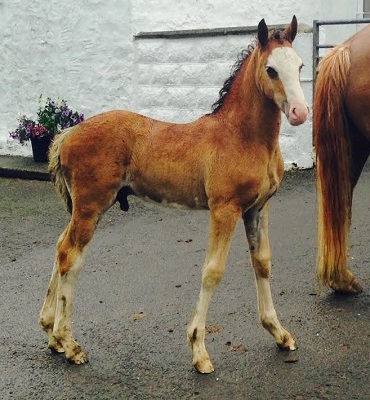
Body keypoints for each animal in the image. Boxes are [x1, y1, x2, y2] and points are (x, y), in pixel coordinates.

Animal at [39, 15, 308, 372]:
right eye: (271, 69)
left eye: (300, 65)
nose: (300, 112)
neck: (242, 136)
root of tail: (68, 133)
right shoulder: (225, 209)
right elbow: (213, 271)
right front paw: (199, 352)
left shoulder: (257, 208)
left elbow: (262, 263)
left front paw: (279, 333)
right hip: (91, 206)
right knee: (71, 256)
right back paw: (69, 345)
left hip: (82, 208)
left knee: (60, 246)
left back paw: (51, 333)